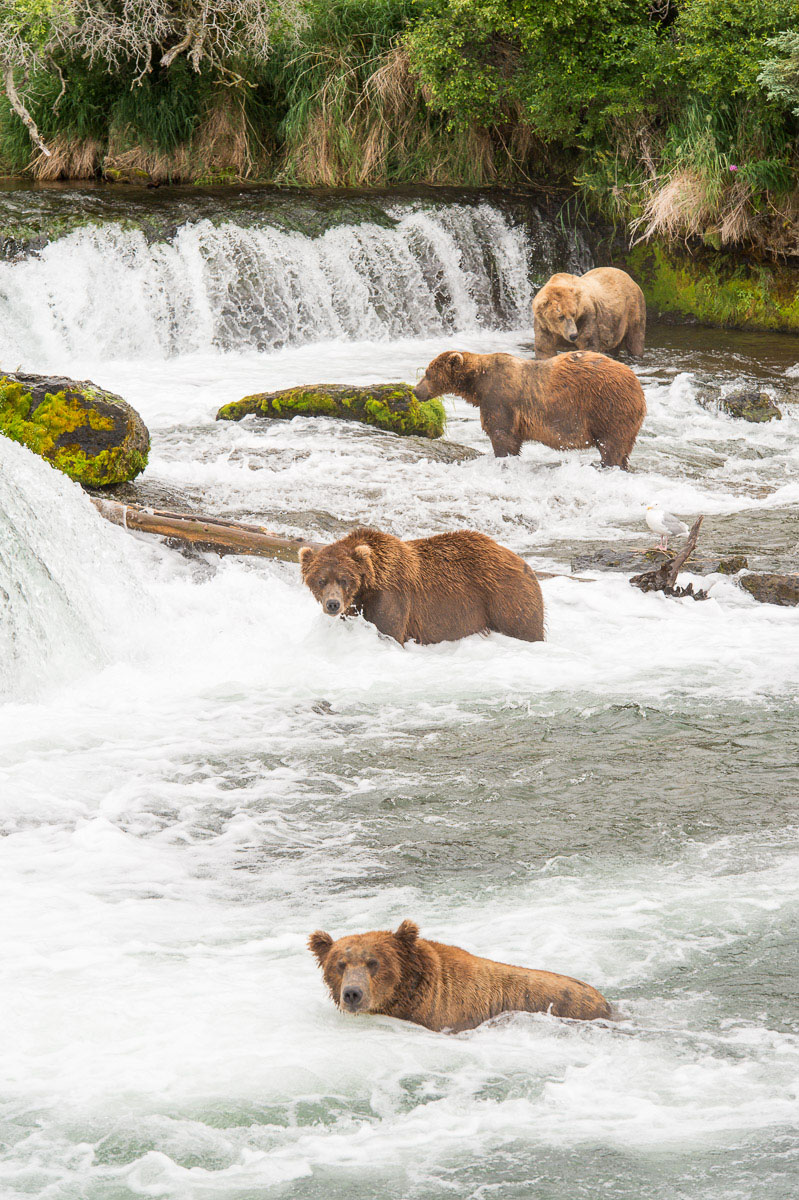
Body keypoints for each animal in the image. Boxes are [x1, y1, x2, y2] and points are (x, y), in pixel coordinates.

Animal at [297, 528, 542, 648]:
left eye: (344, 579)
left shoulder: (391, 597)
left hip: (507, 598)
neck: (368, 586)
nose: (332, 604)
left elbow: (389, 632)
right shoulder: (355, 606)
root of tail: (523, 563)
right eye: (320, 580)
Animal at [412, 348, 643, 468]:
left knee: (611, 445)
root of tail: (636, 383)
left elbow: (502, 434)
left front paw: (501, 457)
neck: (477, 382)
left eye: (428, 373)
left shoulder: (499, 398)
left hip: (608, 407)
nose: (415, 391)